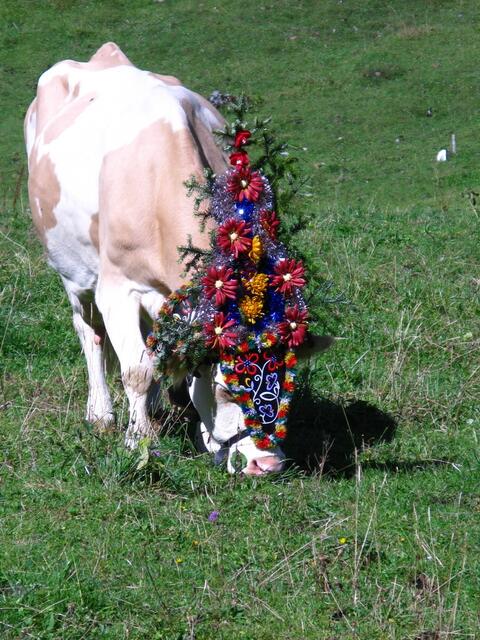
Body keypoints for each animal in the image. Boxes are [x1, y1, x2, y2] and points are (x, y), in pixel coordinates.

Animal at [25, 43, 330, 476]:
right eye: (227, 389)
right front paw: (138, 443)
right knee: (90, 332)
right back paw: (101, 414)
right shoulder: (116, 289)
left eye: (286, 382)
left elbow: (162, 362)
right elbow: (137, 370)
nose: (267, 465)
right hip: (73, 272)